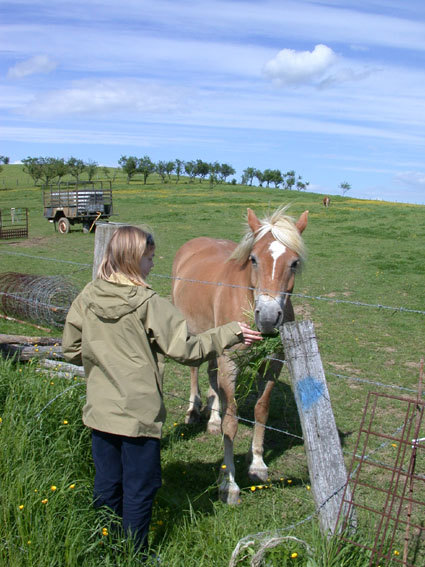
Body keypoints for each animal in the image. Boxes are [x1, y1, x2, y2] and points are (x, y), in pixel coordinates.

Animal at [171, 205, 306, 506]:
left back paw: (212, 419)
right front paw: (229, 484)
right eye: (253, 259)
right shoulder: (230, 363)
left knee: (212, 379)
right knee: (196, 371)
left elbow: (261, 410)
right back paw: (193, 411)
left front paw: (257, 464)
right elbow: (231, 423)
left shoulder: (273, 364)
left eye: (294, 263)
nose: (267, 319)